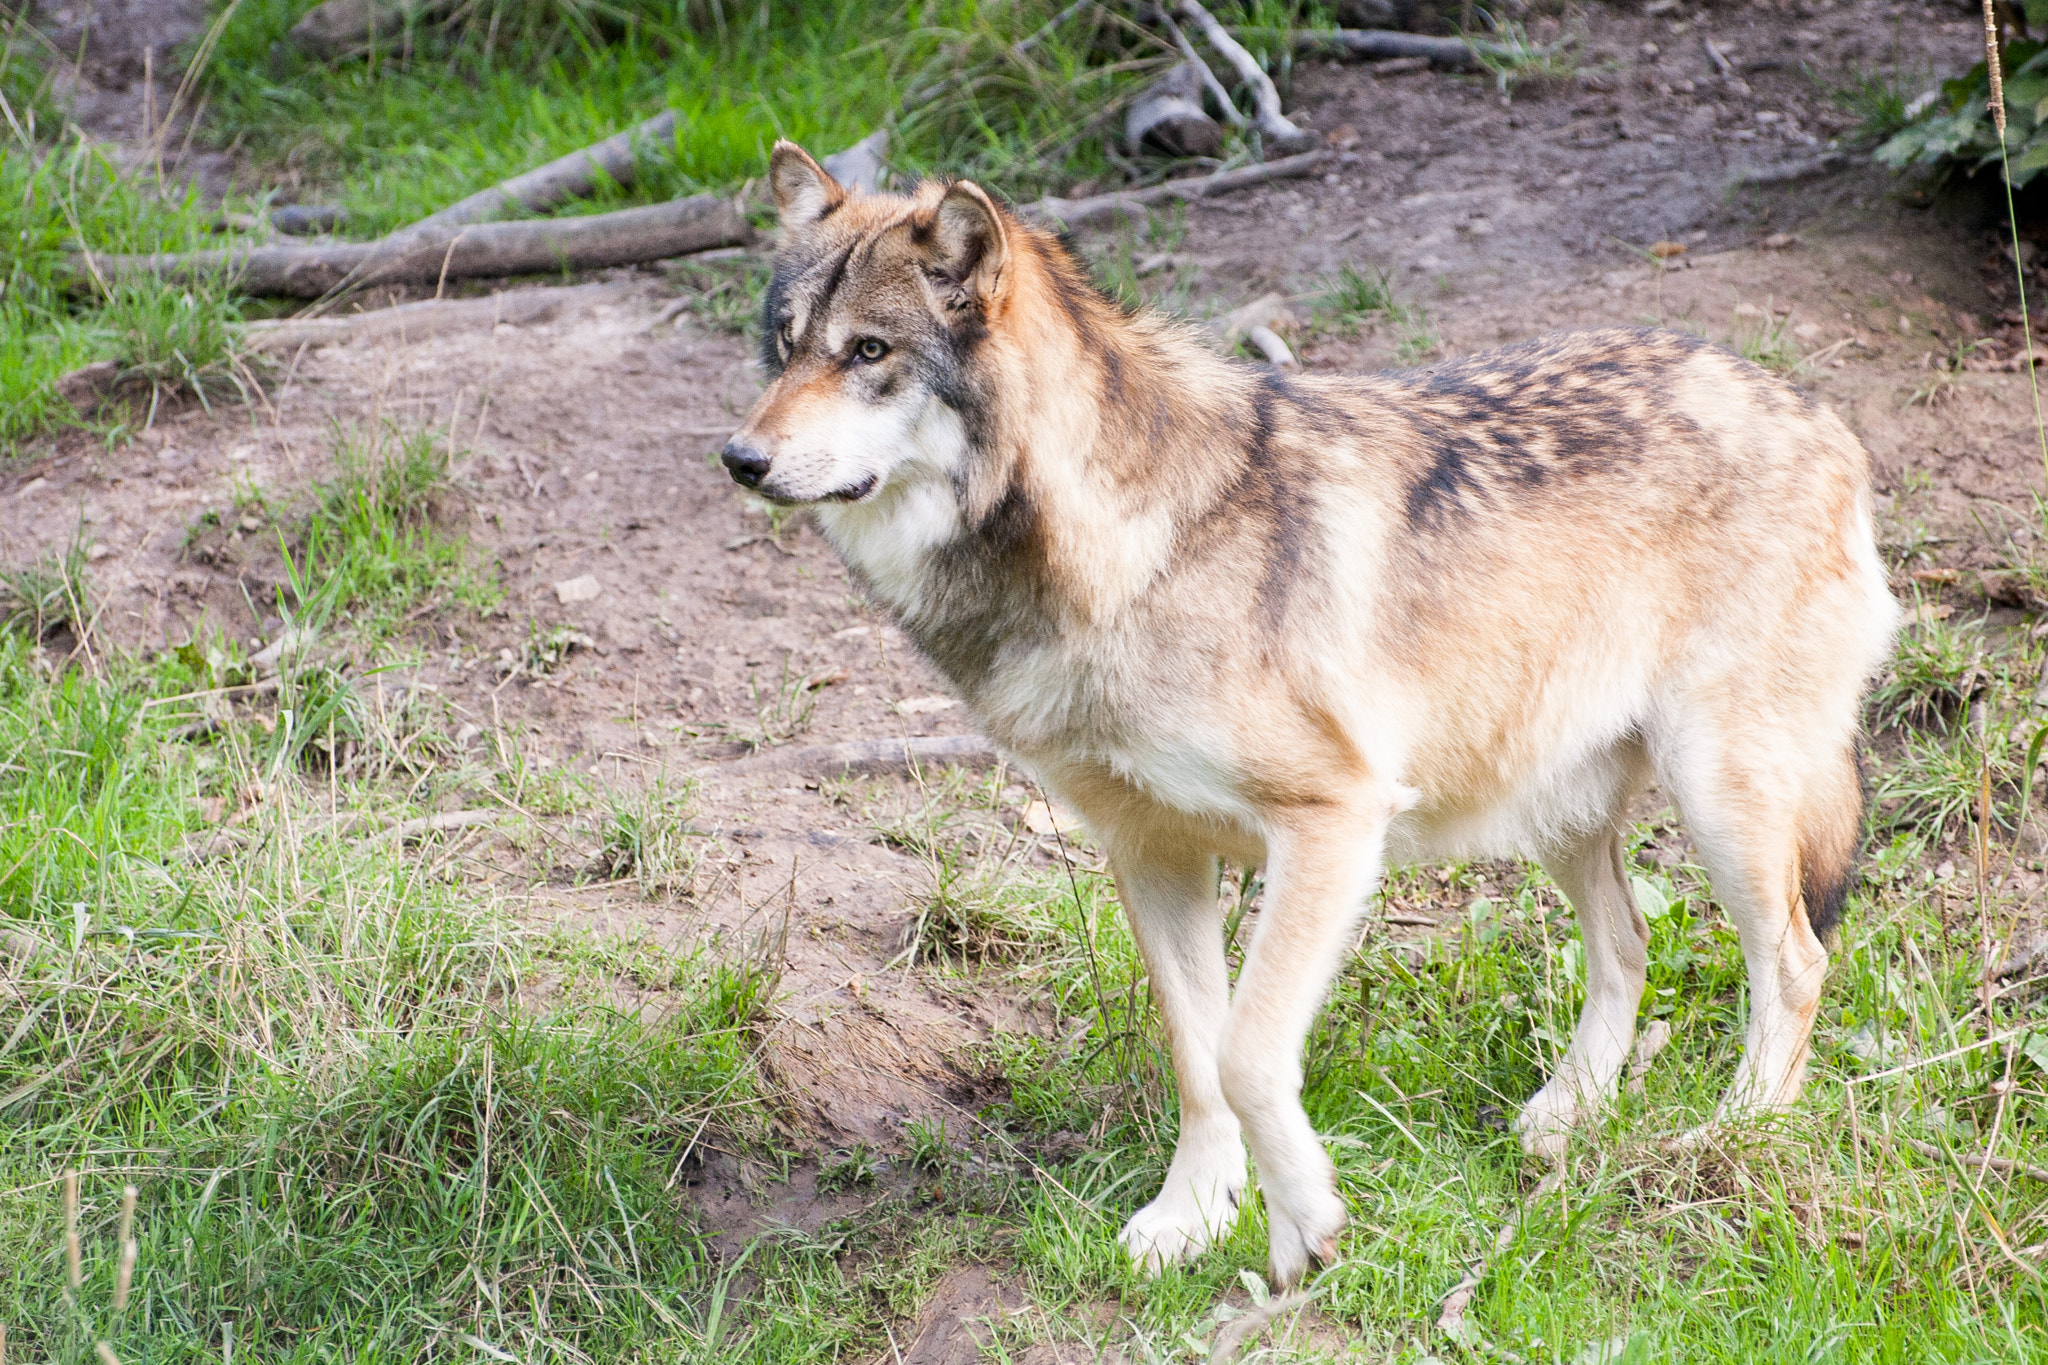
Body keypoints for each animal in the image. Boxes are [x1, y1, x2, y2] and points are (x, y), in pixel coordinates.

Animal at [718, 142, 1898, 1288]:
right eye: (784, 345)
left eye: (869, 351)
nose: (740, 458)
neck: (1120, 549)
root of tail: (1819, 414)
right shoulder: (1149, 850)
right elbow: (1197, 1055)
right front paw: (1193, 1216)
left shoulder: (1330, 822)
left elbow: (1246, 1052)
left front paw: (1306, 1231)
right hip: (1554, 808)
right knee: (1630, 946)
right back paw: (1562, 1120)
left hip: (1717, 795)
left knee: (1794, 962)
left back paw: (1726, 1138)